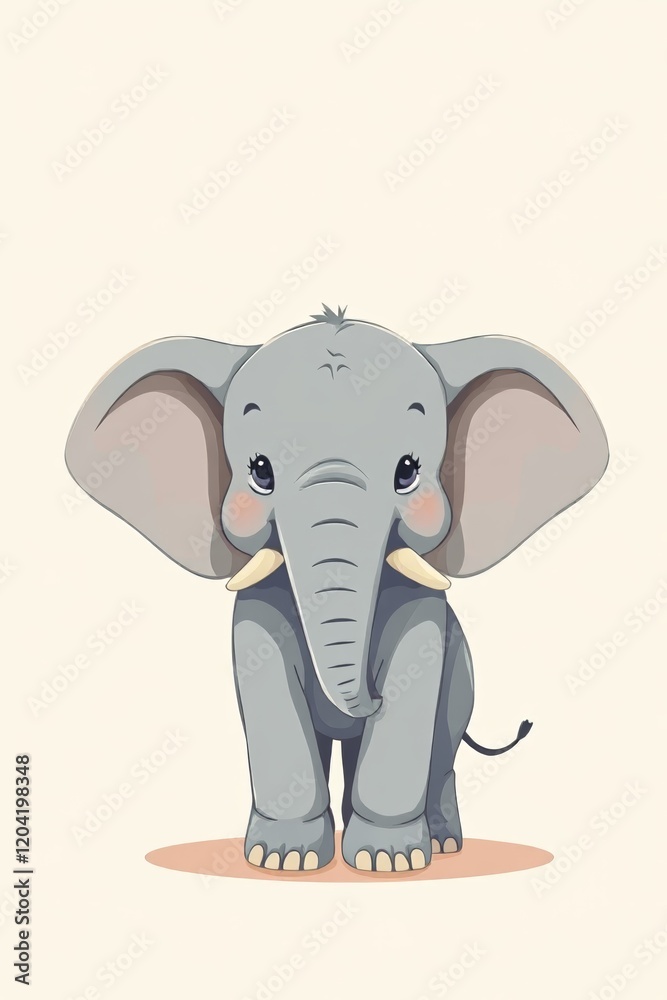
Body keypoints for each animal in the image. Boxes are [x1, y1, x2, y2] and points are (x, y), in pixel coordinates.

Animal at [65, 304, 608, 873]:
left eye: (408, 471)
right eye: (260, 472)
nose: (369, 698)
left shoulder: (424, 614)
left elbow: (414, 683)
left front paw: (387, 862)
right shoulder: (257, 608)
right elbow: (271, 693)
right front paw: (281, 860)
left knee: (441, 755)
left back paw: (438, 846)